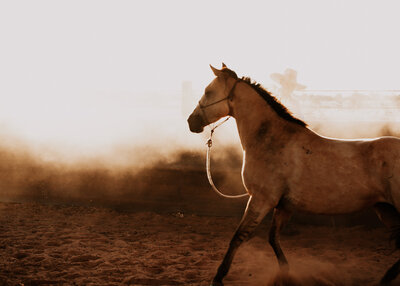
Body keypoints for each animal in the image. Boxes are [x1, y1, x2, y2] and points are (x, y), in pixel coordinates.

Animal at [188, 63, 400, 286]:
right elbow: (273, 238)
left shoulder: (261, 200)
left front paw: (218, 277)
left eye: (208, 92)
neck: (272, 140)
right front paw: (285, 274)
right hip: (385, 209)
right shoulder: (284, 206)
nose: (191, 122)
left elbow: (239, 236)